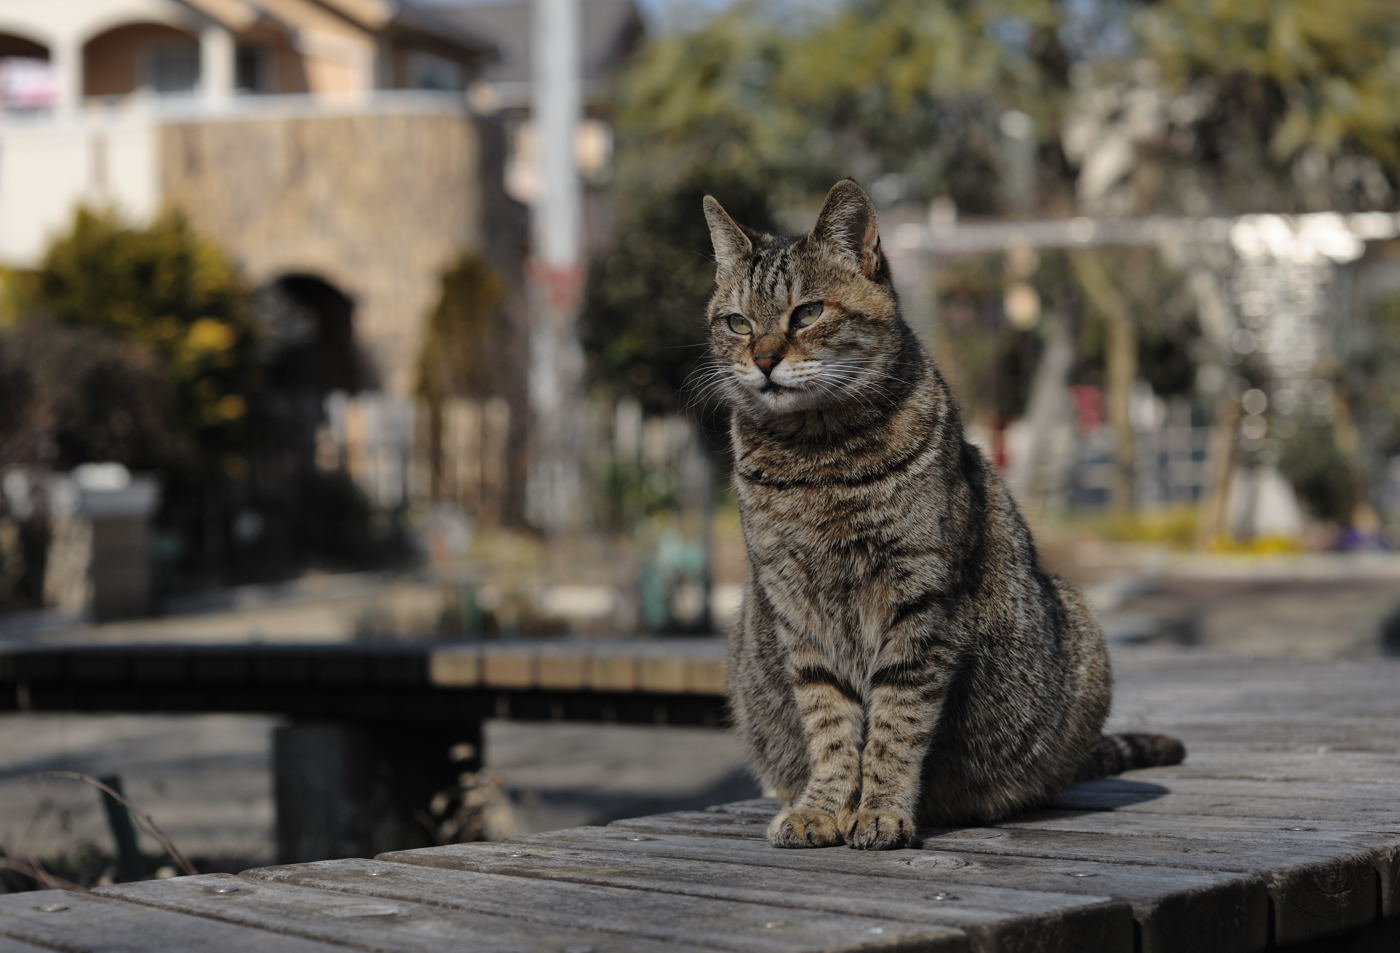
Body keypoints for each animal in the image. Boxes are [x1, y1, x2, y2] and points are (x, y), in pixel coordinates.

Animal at [711, 178, 1181, 845]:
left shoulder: (921, 600)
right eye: (737, 322)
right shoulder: (798, 611)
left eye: (807, 313)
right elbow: (829, 724)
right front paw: (822, 807)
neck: (817, 456)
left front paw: (880, 809)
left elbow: (894, 725)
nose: (764, 359)